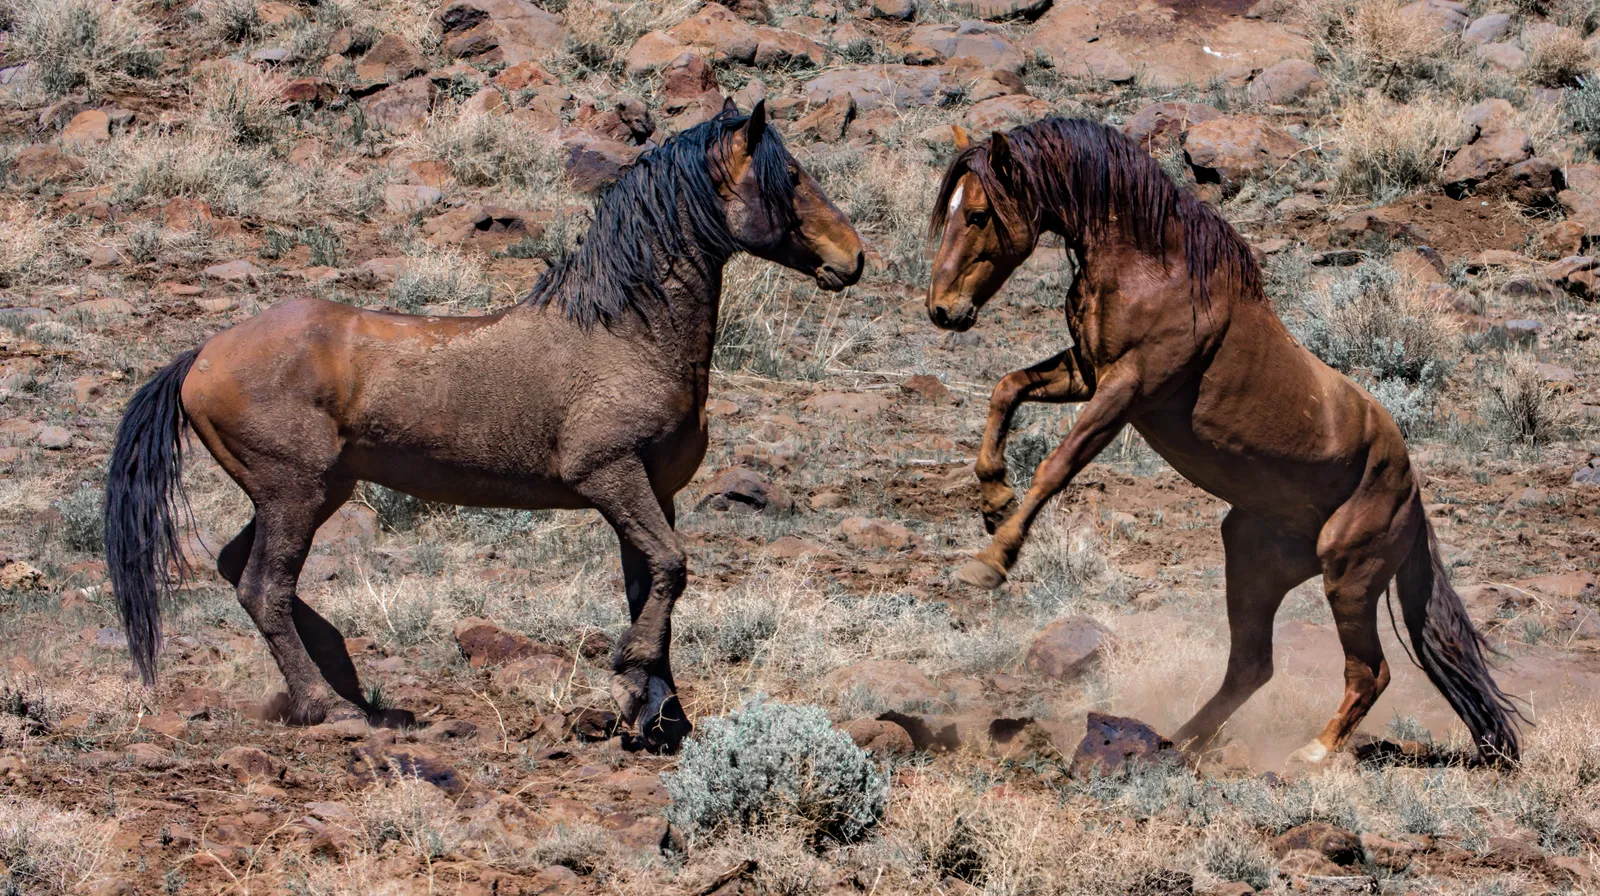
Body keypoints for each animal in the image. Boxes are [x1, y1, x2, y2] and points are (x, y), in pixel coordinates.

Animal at [103, 101, 864, 752]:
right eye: (790, 177)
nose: (852, 257)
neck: (627, 332)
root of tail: (200, 357)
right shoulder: (610, 475)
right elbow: (672, 570)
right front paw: (636, 680)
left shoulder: (652, 491)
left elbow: (653, 584)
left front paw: (656, 719)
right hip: (295, 491)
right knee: (265, 588)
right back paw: (331, 706)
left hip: (314, 492)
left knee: (244, 573)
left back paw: (350, 684)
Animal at [925, 117, 1520, 765]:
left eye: (977, 214)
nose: (942, 310)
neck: (1154, 269)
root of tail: (1412, 497)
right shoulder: (1086, 373)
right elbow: (1005, 390)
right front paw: (992, 499)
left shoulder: (1127, 390)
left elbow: (1056, 466)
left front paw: (989, 563)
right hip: (1254, 561)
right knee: (1251, 667)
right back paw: (1177, 744)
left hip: (1349, 577)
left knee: (1368, 672)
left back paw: (1310, 756)